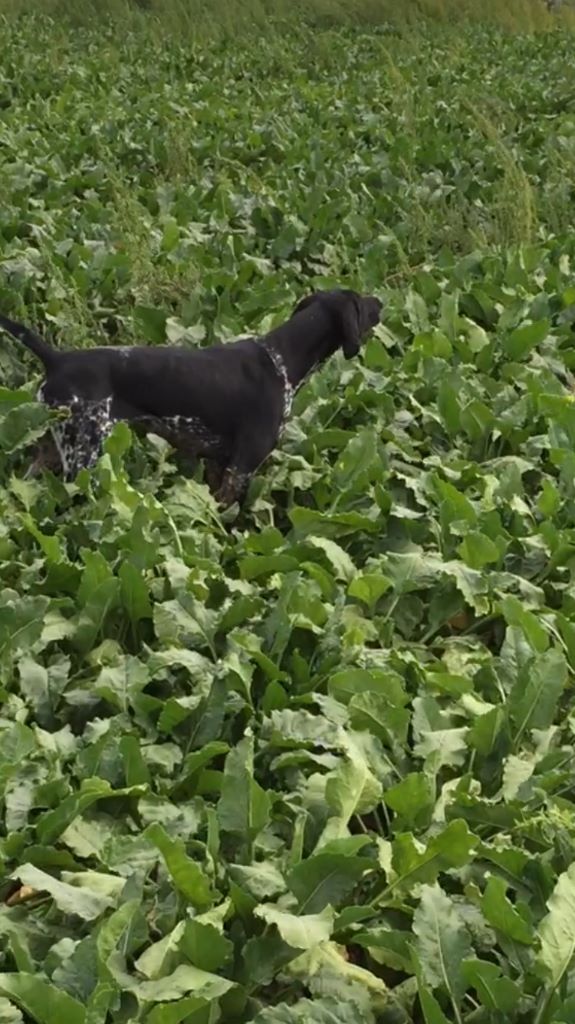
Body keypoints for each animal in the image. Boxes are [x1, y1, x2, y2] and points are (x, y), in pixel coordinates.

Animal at [0, 289, 381, 506]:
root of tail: (57, 359)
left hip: (48, 454)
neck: (281, 360)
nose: (382, 301)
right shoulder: (241, 468)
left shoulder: (217, 465)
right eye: (360, 301)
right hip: (84, 456)